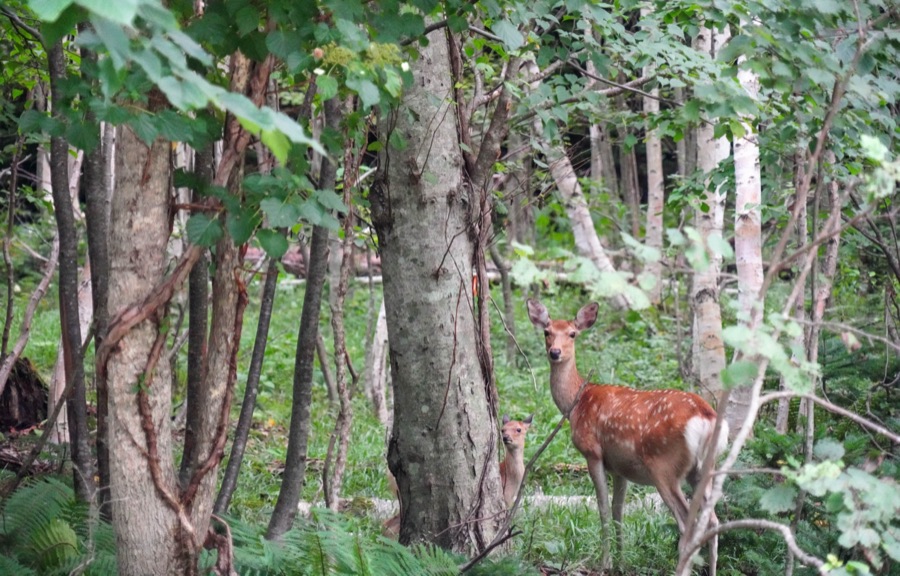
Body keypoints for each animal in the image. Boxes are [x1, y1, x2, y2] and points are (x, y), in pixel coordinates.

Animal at [527, 299, 728, 574]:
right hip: (704, 469)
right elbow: (617, 512)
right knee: (713, 521)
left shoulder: (592, 452)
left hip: (664, 466)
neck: (577, 403)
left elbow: (602, 508)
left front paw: (606, 562)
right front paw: (621, 561)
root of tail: (705, 417)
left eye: (572, 333)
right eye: (547, 332)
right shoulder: (620, 468)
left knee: (687, 523)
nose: (555, 352)